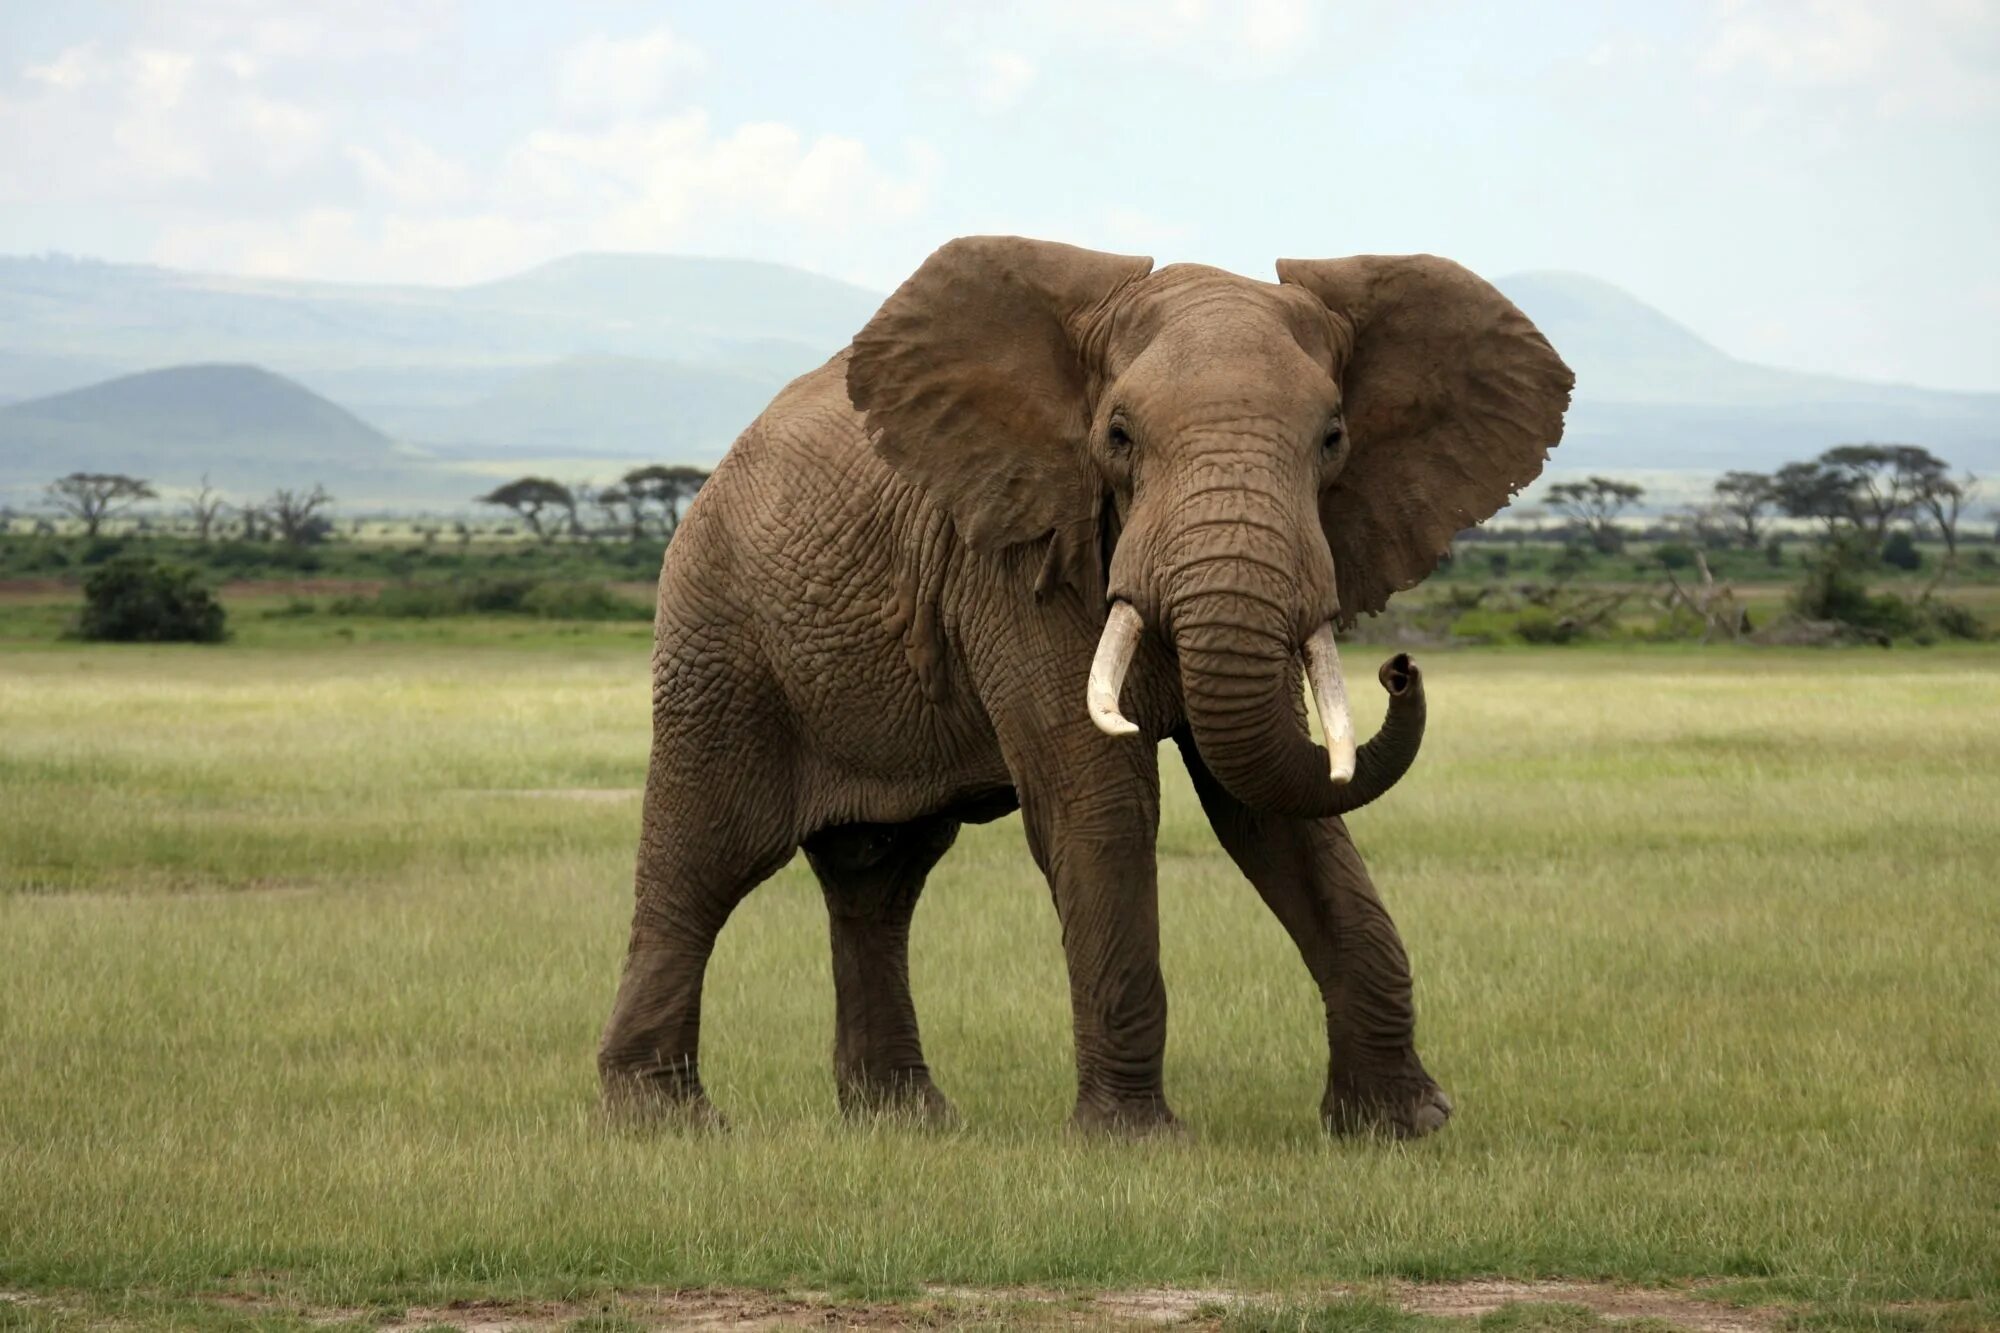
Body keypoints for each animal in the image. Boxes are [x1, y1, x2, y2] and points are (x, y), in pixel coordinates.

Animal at [600, 236, 1568, 1128]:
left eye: (1333, 440)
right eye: (1119, 437)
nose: (1400, 668)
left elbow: (1275, 807)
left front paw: (1404, 1128)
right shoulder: (1017, 555)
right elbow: (1101, 802)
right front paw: (1134, 1141)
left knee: (879, 880)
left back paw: (909, 1122)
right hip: (717, 638)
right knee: (705, 858)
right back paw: (666, 1122)